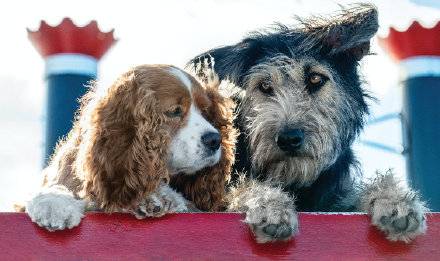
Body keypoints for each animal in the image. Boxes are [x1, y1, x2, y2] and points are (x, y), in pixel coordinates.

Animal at [25, 64, 235, 230]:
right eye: (174, 111)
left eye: (206, 112)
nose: (215, 140)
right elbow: (56, 186)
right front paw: (53, 204)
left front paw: (157, 198)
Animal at [191, 3, 428, 244]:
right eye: (264, 85)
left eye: (315, 79)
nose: (289, 139)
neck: (295, 181)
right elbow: (240, 189)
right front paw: (268, 204)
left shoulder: (333, 200)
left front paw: (393, 199)